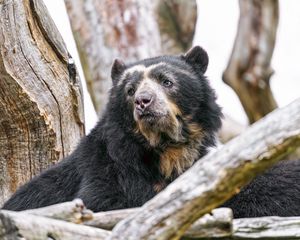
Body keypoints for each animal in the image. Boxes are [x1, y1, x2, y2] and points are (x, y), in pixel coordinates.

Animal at [3, 46, 300, 218]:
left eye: (167, 82)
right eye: (130, 90)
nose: (143, 101)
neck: (165, 148)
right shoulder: (110, 167)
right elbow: (105, 202)